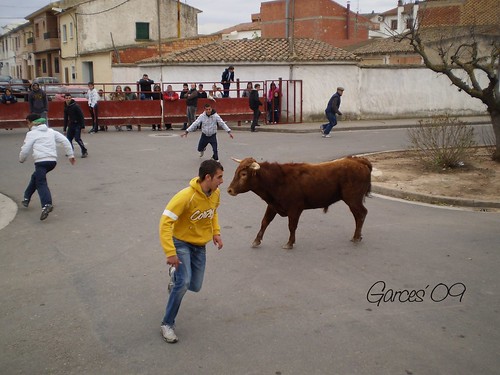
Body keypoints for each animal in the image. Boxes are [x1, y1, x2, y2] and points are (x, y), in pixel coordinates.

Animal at [227, 156, 372, 250]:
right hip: (353, 200)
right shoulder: (272, 206)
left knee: (362, 214)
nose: (230, 190)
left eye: (244, 174)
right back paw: (357, 236)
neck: (278, 180)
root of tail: (358, 160)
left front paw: (290, 243)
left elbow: (292, 226)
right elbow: (264, 222)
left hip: (353, 199)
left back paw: (356, 237)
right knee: (358, 215)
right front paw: (256, 240)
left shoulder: (295, 209)